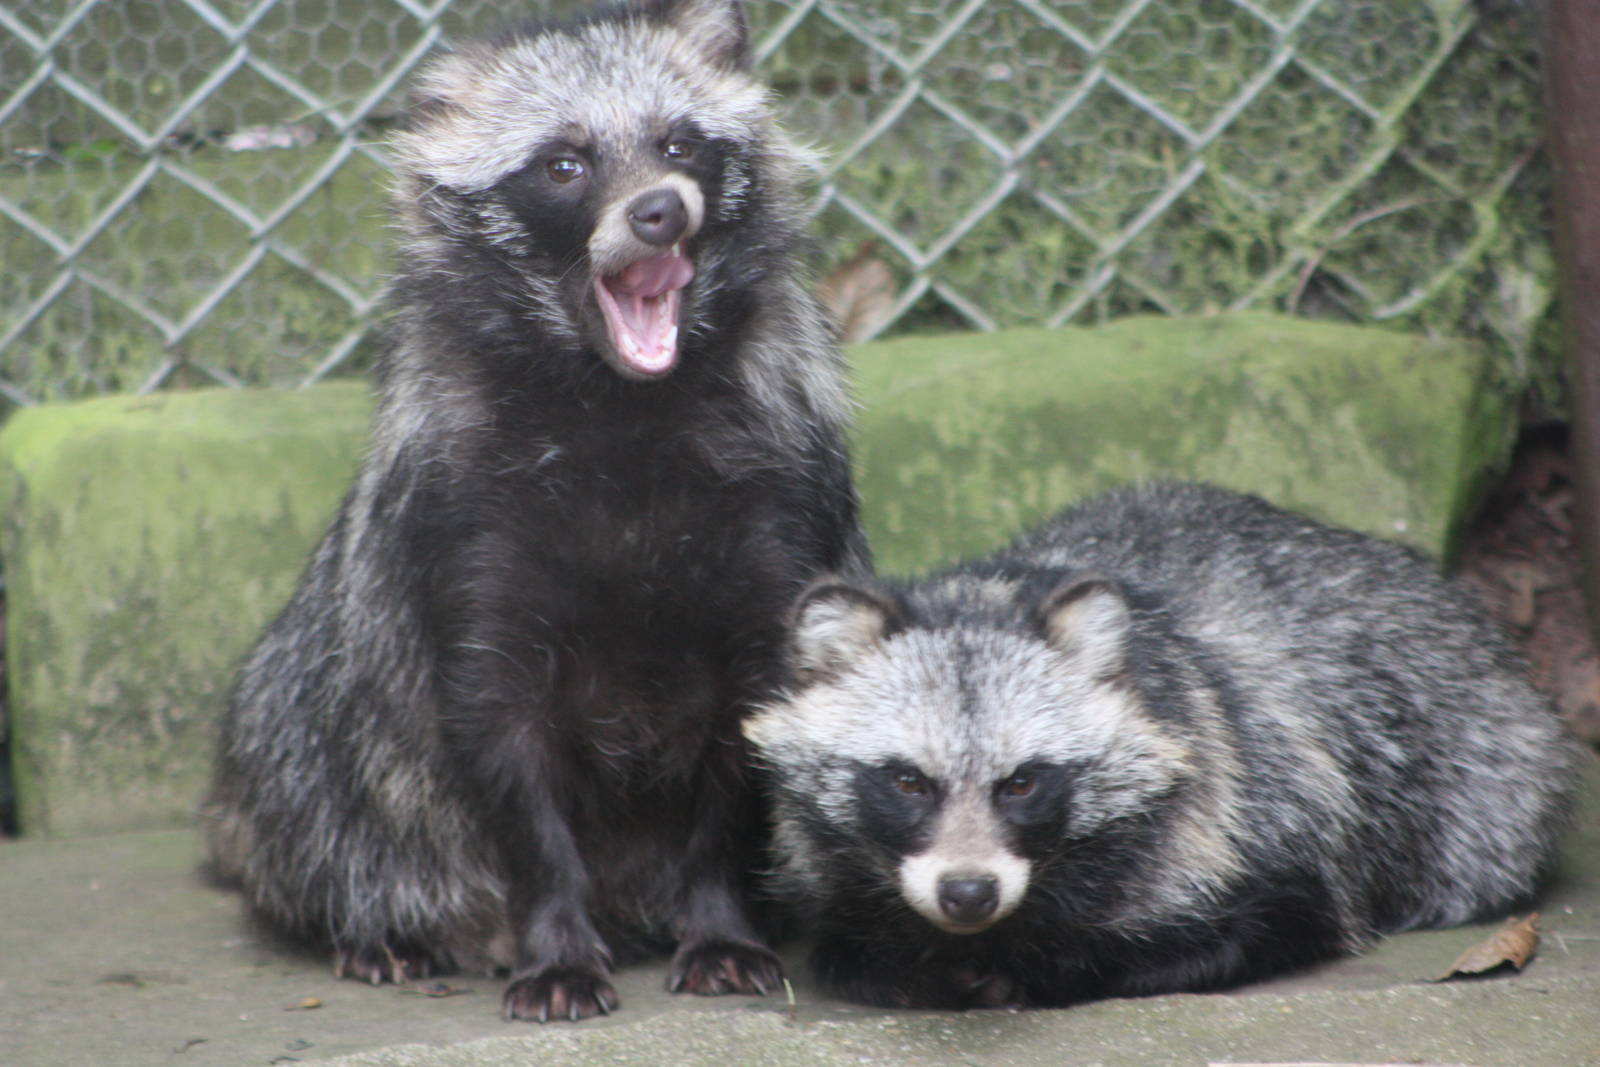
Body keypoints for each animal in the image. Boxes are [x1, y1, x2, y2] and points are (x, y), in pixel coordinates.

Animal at [204, 0, 868, 1023]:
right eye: (564, 164)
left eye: (680, 143)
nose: (662, 208)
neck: (622, 408)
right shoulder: (468, 524)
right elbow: (507, 759)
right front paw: (555, 938)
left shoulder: (780, 504)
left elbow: (749, 741)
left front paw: (721, 919)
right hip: (299, 738)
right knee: (326, 792)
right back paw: (377, 928)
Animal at [745, 483, 1580, 1010]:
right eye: (908, 782)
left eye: (1023, 783)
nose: (968, 892)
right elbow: (842, 948)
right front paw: (916, 964)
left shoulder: (1261, 803)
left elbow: (1263, 923)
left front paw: (1048, 965)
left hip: (1480, 768)